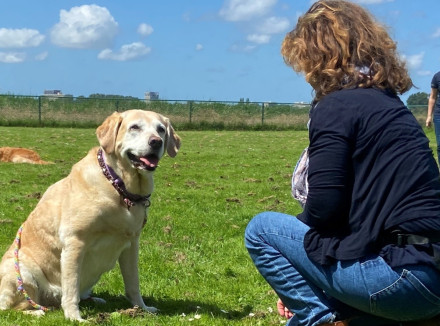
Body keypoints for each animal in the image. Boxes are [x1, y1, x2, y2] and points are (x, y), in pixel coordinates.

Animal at [0, 109, 180, 320]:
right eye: (135, 127)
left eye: (161, 129)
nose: (156, 142)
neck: (119, 187)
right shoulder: (74, 243)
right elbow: (71, 286)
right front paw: (74, 317)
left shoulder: (132, 244)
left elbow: (133, 284)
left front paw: (141, 308)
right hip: (21, 271)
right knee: (11, 308)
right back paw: (37, 312)